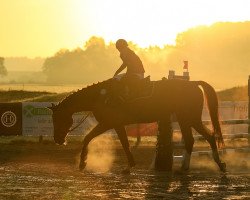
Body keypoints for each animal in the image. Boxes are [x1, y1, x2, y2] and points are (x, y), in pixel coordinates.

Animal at [47, 77, 226, 173]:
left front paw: (83, 163)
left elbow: (88, 138)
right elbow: (125, 144)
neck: (100, 96)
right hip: (187, 120)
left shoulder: (108, 123)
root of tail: (194, 83)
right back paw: (198, 167)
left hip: (189, 119)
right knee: (199, 139)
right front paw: (129, 166)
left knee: (201, 138)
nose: (57, 140)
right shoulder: (117, 125)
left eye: (57, 118)